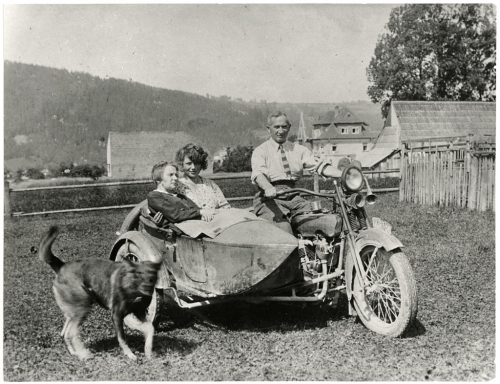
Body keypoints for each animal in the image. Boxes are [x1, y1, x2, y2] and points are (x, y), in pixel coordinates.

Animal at [39, 225, 160, 360]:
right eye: (138, 274)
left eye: (152, 275)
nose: (148, 288)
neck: (133, 290)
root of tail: (62, 265)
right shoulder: (117, 315)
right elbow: (122, 338)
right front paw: (130, 354)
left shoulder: (137, 314)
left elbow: (149, 328)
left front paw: (148, 350)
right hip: (82, 308)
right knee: (70, 333)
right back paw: (83, 353)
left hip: (74, 311)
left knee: (64, 333)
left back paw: (75, 352)